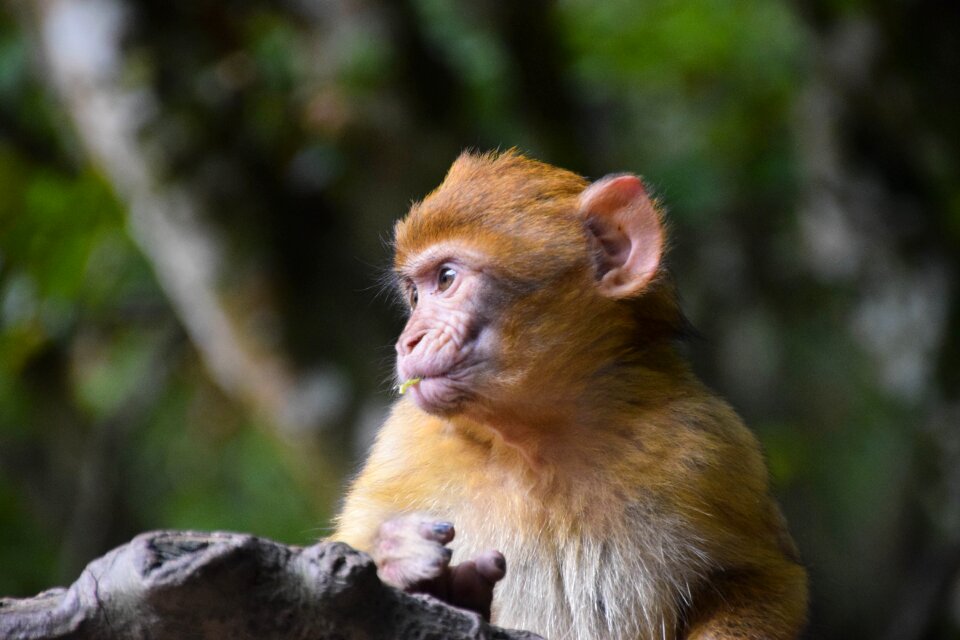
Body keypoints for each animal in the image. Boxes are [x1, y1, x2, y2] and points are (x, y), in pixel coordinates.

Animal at [334, 151, 808, 640]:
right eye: (414, 294)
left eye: (445, 278)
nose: (407, 342)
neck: (535, 445)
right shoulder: (401, 447)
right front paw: (418, 576)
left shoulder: (711, 448)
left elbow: (763, 581)